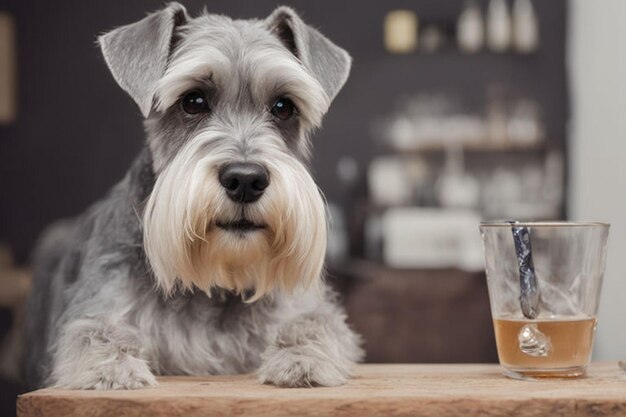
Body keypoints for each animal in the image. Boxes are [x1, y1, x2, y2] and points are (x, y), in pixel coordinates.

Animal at [23, 2, 360, 390]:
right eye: (193, 101)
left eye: (283, 106)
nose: (246, 179)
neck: (215, 280)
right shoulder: (102, 304)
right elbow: (93, 332)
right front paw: (110, 368)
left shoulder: (300, 307)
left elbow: (317, 323)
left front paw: (304, 357)